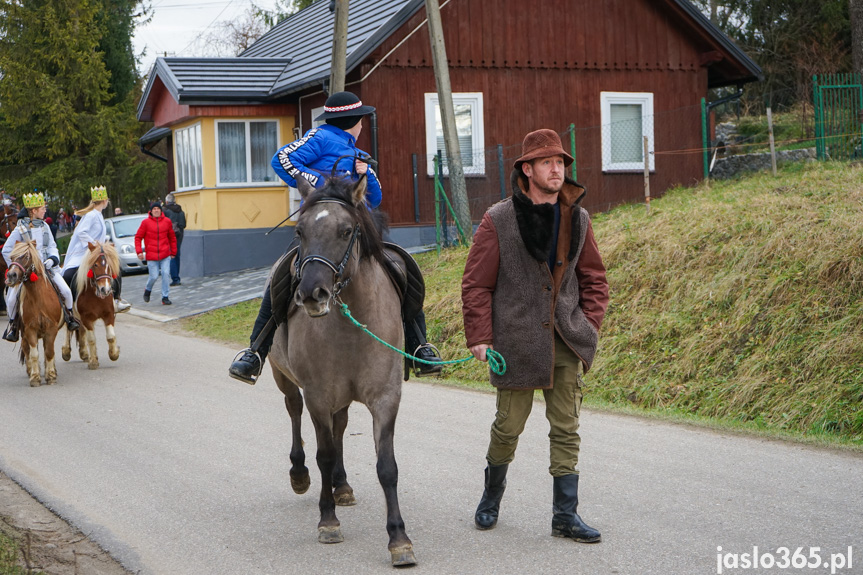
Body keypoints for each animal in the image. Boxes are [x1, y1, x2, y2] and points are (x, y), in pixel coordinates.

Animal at [5, 238, 62, 388]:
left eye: (26, 256)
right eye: (11, 257)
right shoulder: (30, 329)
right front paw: (35, 377)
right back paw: (31, 370)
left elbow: (49, 351)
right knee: (26, 349)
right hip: (23, 332)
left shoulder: (51, 328)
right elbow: (34, 353)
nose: (11, 276)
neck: (39, 298)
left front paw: (51, 376)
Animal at [270, 176, 418, 568]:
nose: (311, 294)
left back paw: (342, 485)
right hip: (283, 377)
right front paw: (328, 521)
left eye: (347, 230)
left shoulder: (385, 397)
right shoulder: (318, 396)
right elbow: (322, 454)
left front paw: (399, 540)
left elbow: (387, 466)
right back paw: (300, 474)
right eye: (300, 232)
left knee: (339, 428)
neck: (353, 323)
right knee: (294, 412)